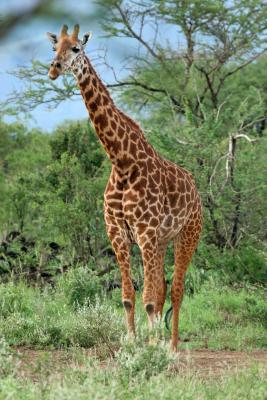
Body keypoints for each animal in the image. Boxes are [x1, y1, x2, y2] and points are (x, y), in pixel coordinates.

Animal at [47, 25, 203, 350]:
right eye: (55, 48)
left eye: (76, 49)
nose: (54, 69)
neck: (121, 161)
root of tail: (195, 190)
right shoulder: (118, 233)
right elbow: (129, 296)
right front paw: (132, 342)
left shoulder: (144, 232)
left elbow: (148, 299)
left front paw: (152, 346)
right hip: (161, 241)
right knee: (163, 289)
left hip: (188, 235)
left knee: (176, 290)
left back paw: (172, 347)